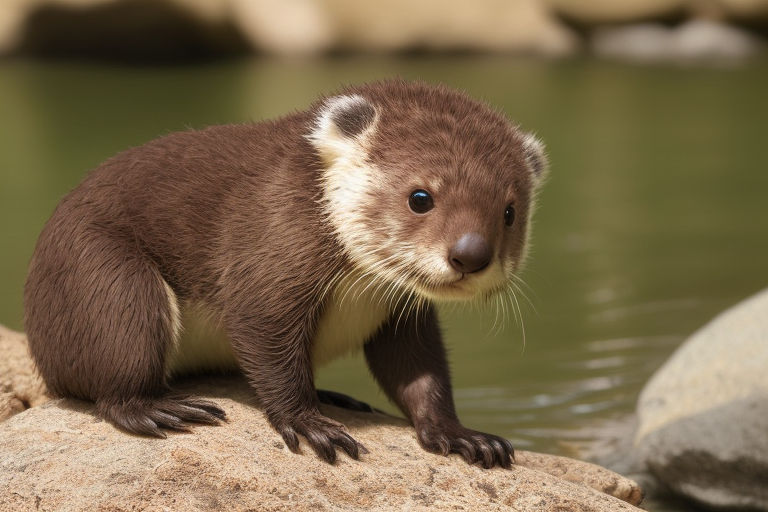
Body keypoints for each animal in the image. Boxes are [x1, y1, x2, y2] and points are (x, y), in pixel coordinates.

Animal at [25, 79, 544, 468]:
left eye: (510, 212)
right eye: (421, 197)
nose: (471, 255)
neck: (356, 288)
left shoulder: (402, 314)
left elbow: (422, 377)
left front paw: (464, 436)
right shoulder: (267, 275)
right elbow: (272, 357)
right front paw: (310, 424)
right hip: (114, 282)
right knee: (116, 382)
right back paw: (161, 409)